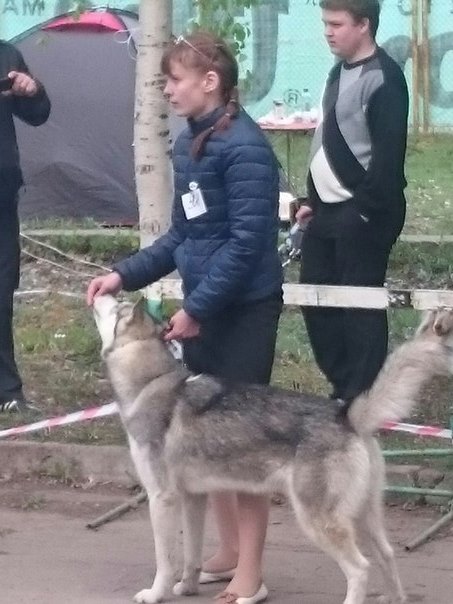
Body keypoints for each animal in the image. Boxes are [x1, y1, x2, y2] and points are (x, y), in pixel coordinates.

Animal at [92, 295, 453, 604]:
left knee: (360, 569)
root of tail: (347, 415)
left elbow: (165, 561)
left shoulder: (161, 499)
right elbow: (191, 556)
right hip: (364, 517)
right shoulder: (194, 498)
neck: (150, 382)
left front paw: (156, 594)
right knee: (387, 555)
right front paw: (187, 587)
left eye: (116, 304)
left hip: (318, 521)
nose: (100, 289)